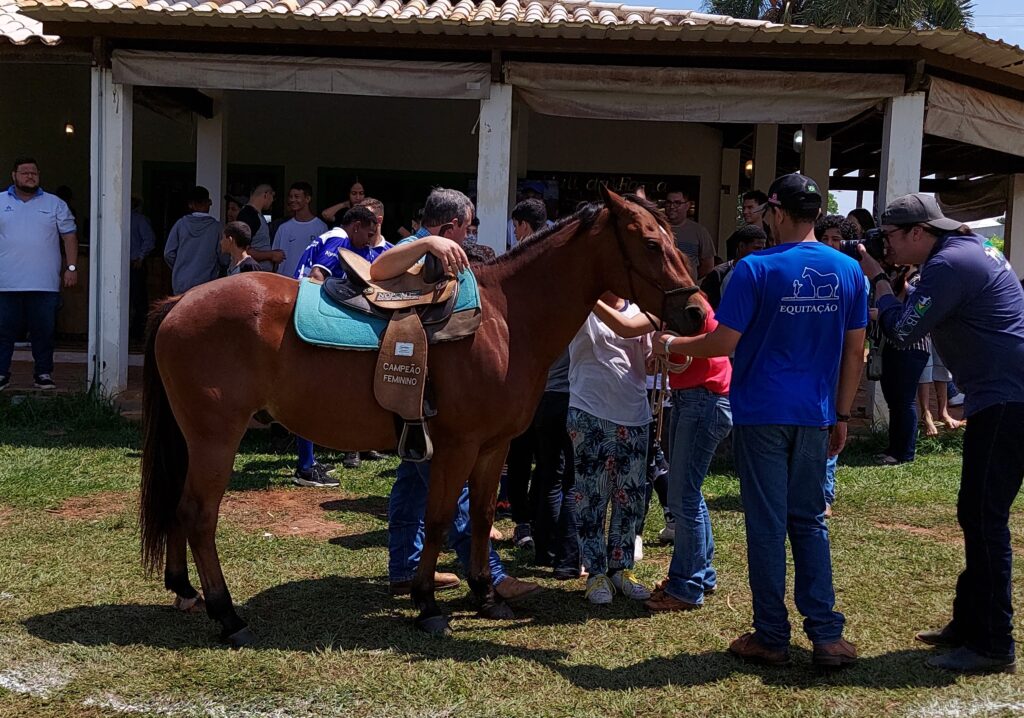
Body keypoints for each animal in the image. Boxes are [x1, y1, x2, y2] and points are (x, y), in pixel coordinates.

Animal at [142, 186, 704, 643]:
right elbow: (436, 519)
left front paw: (485, 596)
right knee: (199, 515)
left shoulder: (493, 448)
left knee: (179, 508)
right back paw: (227, 615)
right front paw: (428, 604)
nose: (697, 313)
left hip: (195, 440)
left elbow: (480, 518)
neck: (505, 320)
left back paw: (185, 591)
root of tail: (179, 302)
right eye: (650, 244)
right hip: (216, 438)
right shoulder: (456, 447)